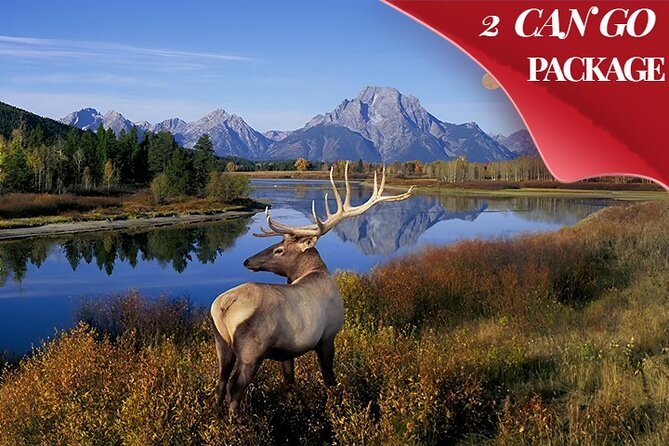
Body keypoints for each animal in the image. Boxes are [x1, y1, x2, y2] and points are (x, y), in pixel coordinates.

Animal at [210, 162, 412, 413]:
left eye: (279, 249)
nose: (247, 261)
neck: (317, 272)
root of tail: (223, 306)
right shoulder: (327, 336)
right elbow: (329, 379)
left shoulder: (286, 351)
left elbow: (289, 380)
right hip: (251, 350)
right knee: (234, 388)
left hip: (221, 343)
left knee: (220, 382)